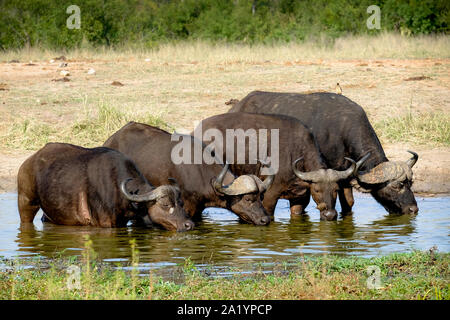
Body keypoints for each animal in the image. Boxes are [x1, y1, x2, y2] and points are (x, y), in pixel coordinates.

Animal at [18, 142, 193, 230]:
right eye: (165, 204)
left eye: (181, 203)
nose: (189, 225)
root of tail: (28, 162)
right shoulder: (105, 224)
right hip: (26, 202)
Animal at [104, 122, 274, 225]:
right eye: (248, 198)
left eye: (261, 197)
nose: (265, 219)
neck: (200, 174)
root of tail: (111, 140)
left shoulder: (198, 211)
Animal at [196, 112, 366, 220]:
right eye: (317, 190)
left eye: (336, 190)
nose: (330, 215)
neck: (296, 153)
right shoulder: (270, 195)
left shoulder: (300, 198)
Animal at [230, 90, 420, 215]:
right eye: (397, 185)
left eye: (411, 183)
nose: (413, 209)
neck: (341, 132)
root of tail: (236, 107)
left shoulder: (344, 174)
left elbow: (349, 202)